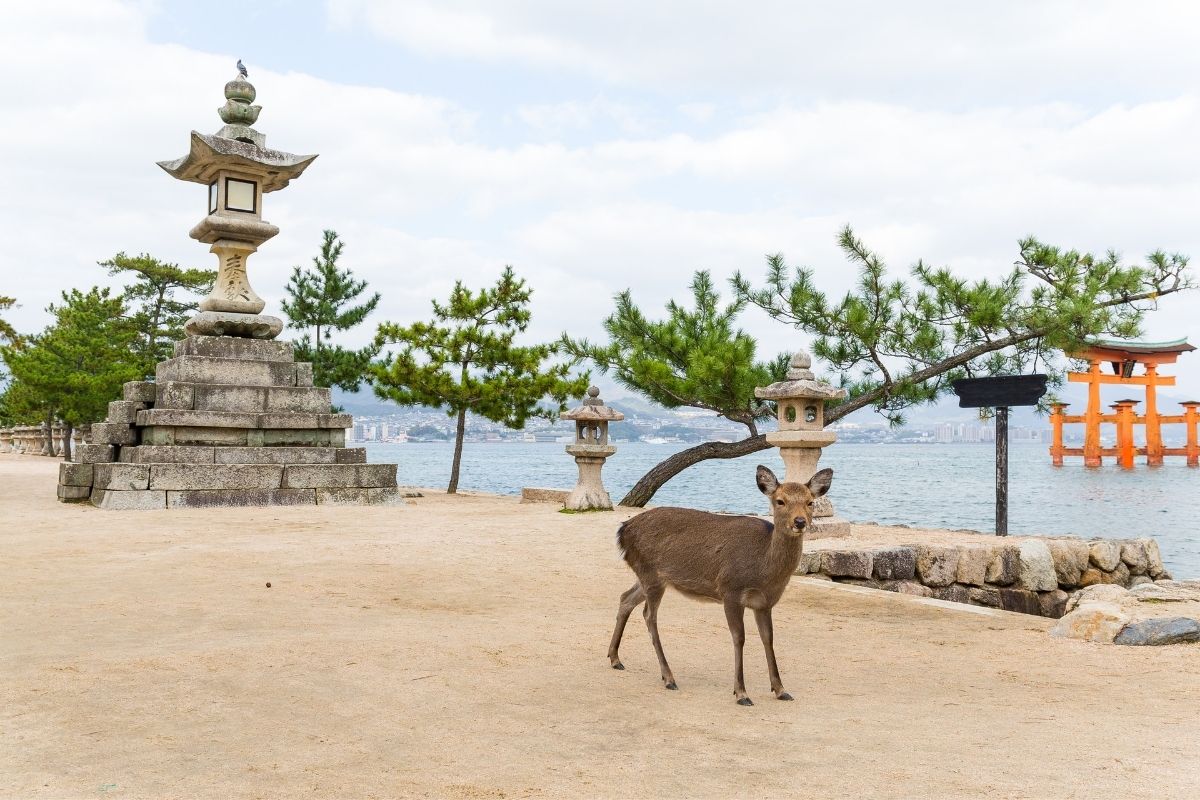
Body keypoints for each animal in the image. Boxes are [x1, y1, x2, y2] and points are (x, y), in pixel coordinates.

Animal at [604, 462, 830, 705]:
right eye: (780, 501)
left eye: (810, 502)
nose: (800, 522)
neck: (764, 569)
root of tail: (623, 529)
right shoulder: (730, 590)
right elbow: (739, 637)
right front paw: (741, 693)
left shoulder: (764, 603)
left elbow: (768, 638)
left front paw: (781, 690)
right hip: (651, 574)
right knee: (649, 616)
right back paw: (668, 677)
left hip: (649, 576)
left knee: (625, 598)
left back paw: (615, 658)